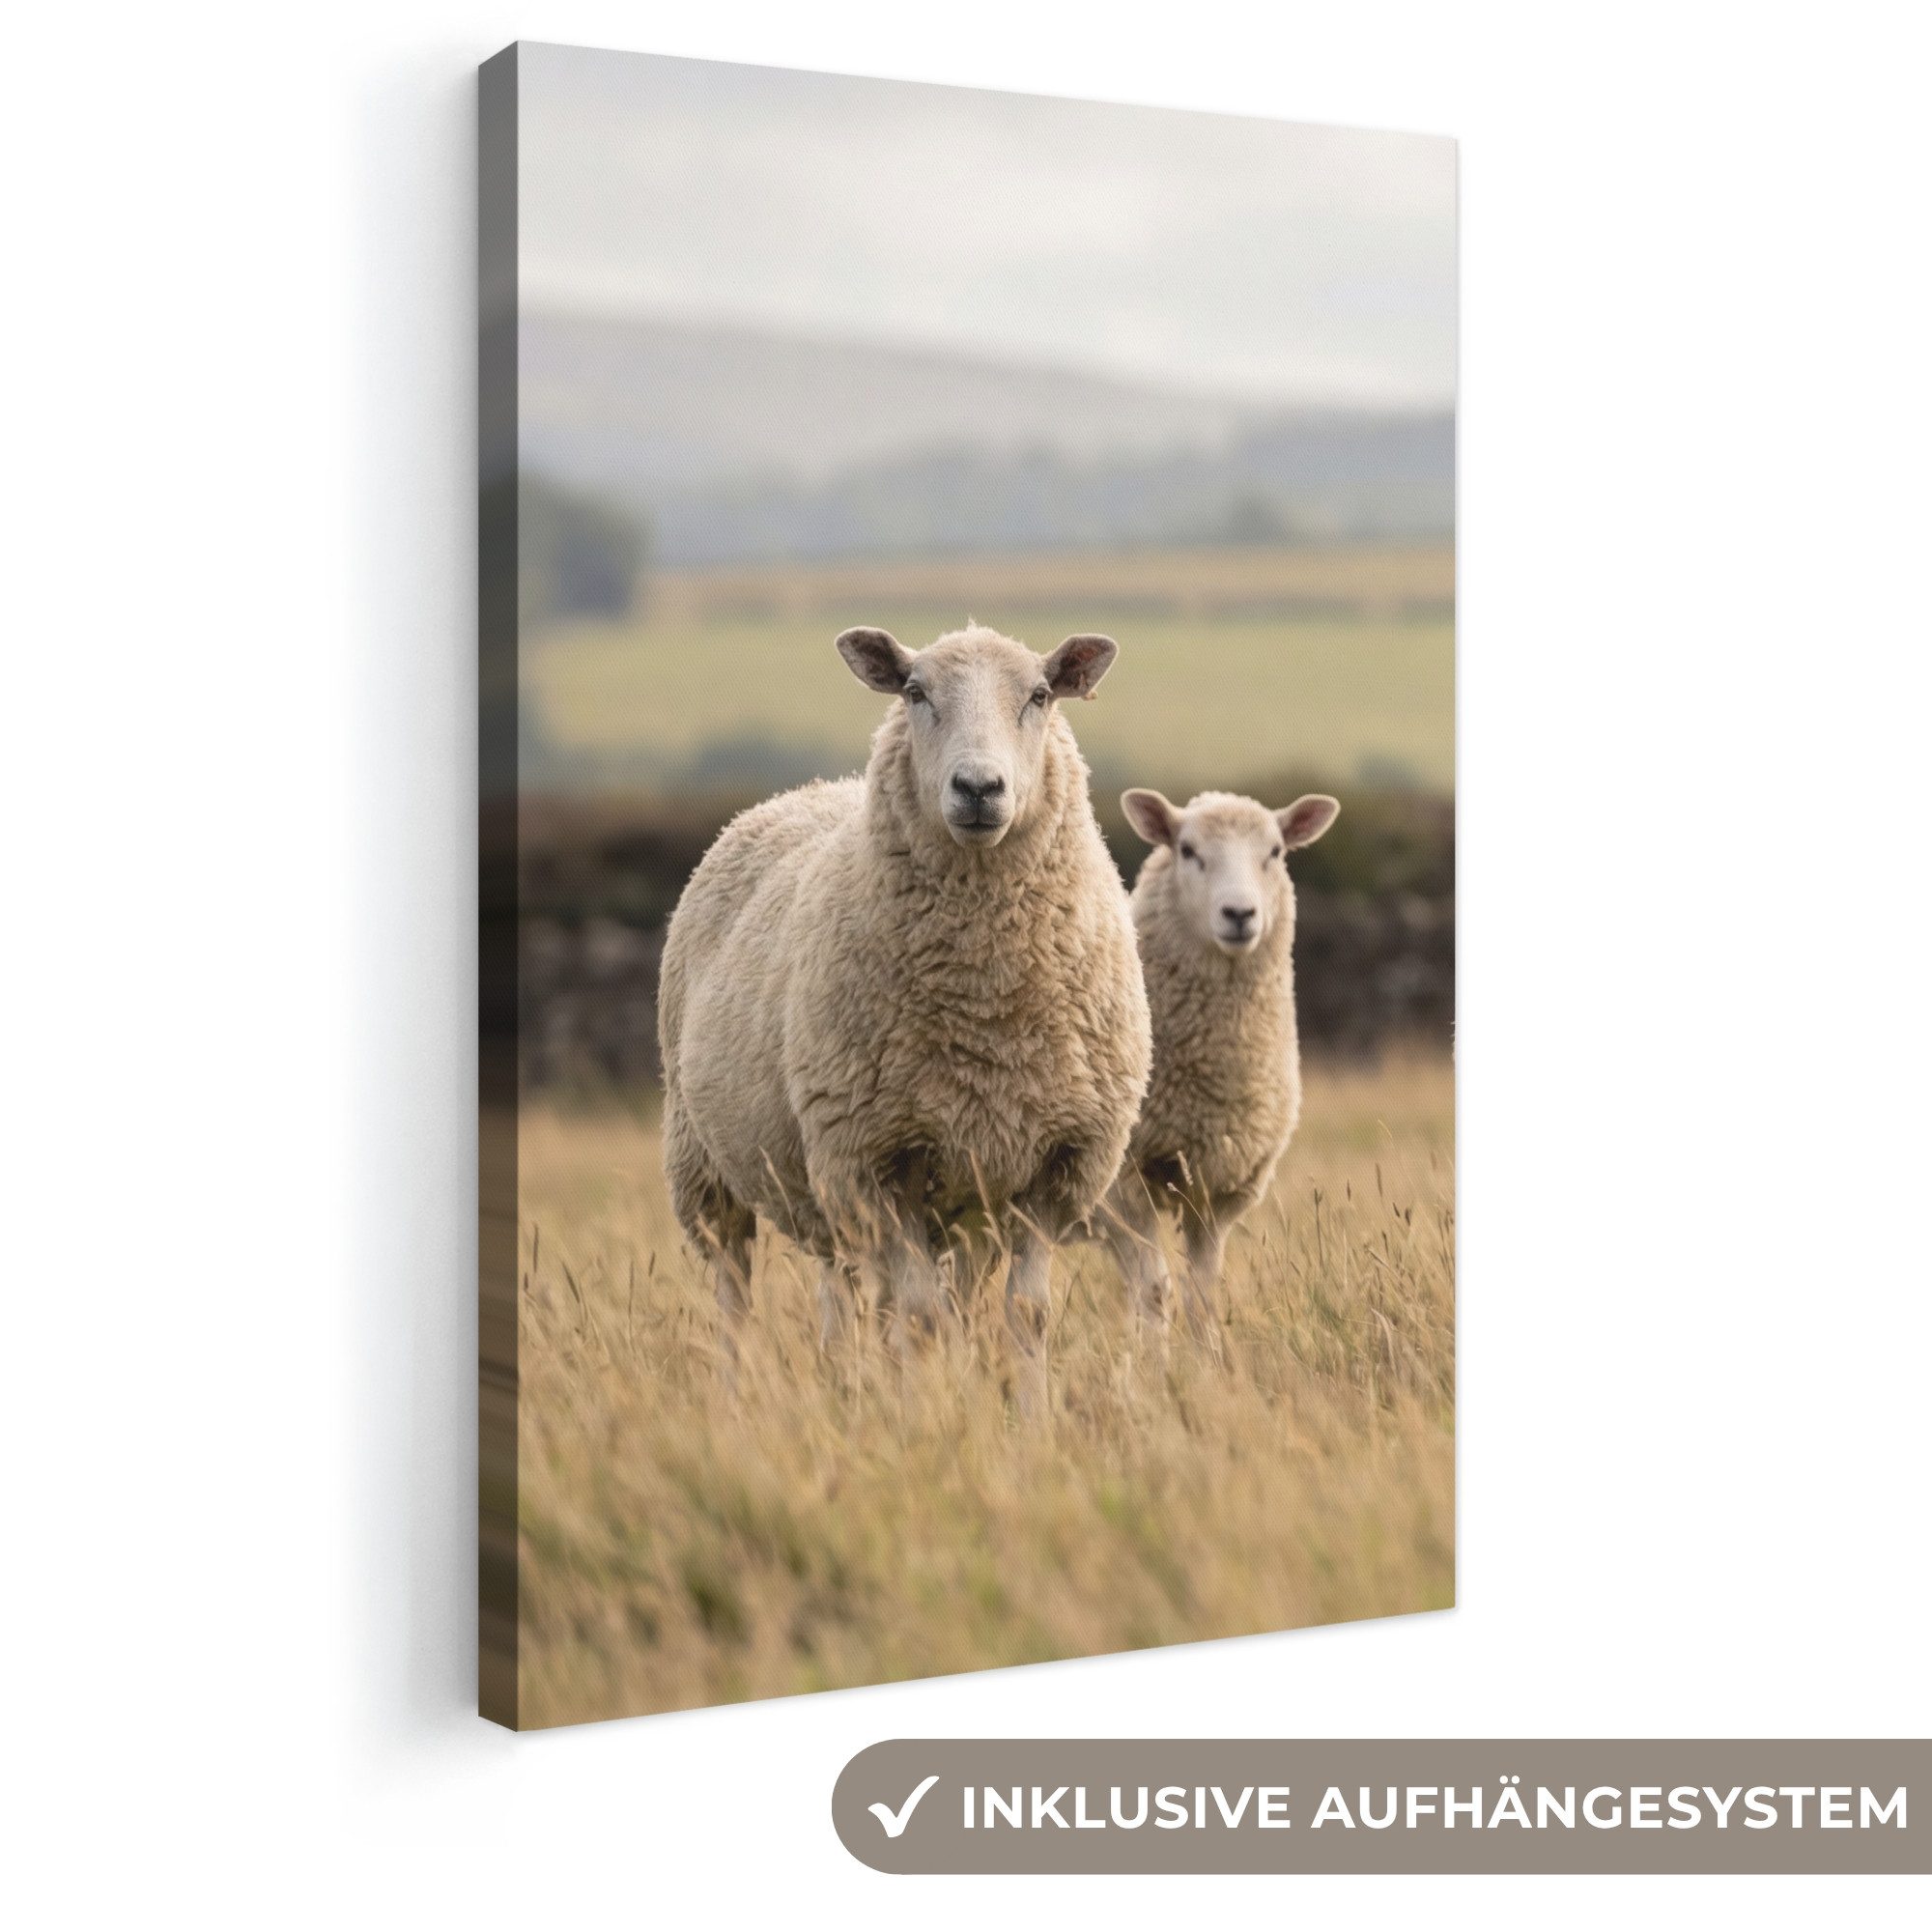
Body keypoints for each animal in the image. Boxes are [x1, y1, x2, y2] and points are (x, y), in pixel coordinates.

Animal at [657, 623, 1152, 1407]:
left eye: (1041, 695)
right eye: (915, 693)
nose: (978, 788)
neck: (987, 1005)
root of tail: (804, 792)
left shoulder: (1055, 1166)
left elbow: (1025, 1313)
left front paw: (1027, 1419)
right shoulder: (875, 1163)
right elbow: (919, 1319)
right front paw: (926, 1415)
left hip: (888, 1195)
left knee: (856, 1296)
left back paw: (853, 1386)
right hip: (711, 1164)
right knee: (735, 1292)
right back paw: (734, 1401)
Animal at [1098, 786, 1341, 1343]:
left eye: (1275, 851)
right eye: (1187, 850)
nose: (1239, 913)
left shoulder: (1218, 1193)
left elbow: (1201, 1297)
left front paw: (1205, 1362)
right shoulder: (1123, 1186)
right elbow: (1154, 1291)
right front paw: (1152, 1366)